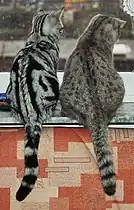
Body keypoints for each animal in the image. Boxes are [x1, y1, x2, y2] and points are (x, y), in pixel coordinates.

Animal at [6, 7, 64, 202]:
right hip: (54, 88)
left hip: (9, 95)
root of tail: (30, 113)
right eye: (61, 28)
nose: (63, 33)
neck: (38, 35)